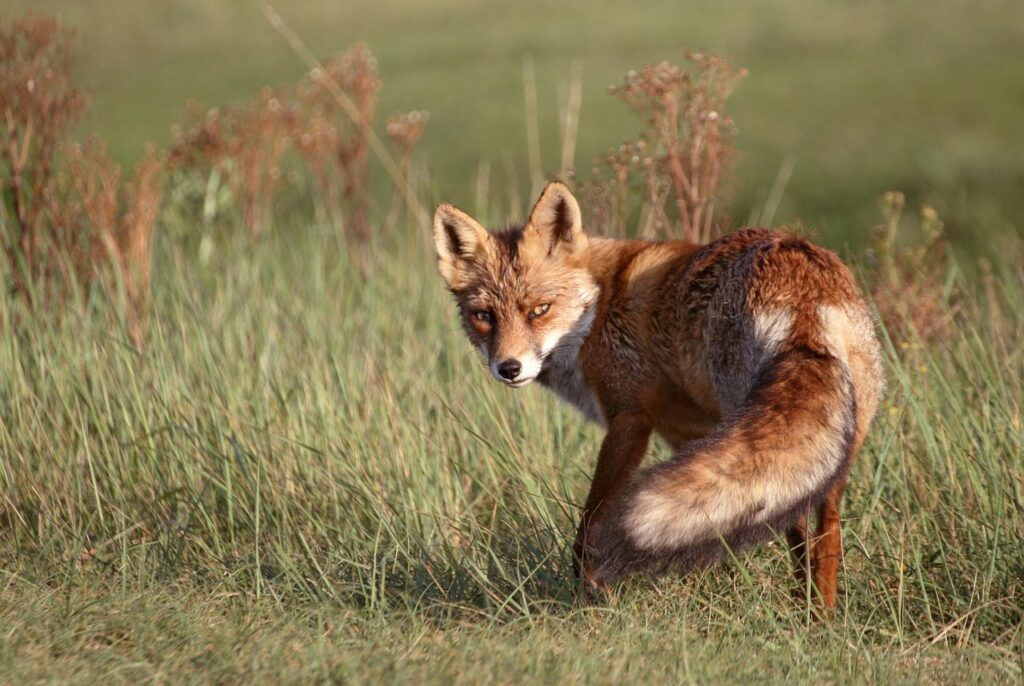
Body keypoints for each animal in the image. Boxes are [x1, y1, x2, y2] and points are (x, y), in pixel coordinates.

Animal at [431, 182, 884, 609]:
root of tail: (803, 287)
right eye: (484, 317)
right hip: (829, 443)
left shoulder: (630, 419)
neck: (601, 303)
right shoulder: (688, 435)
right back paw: (819, 616)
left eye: (540, 309)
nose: (509, 368)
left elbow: (592, 522)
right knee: (820, 526)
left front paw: (589, 592)